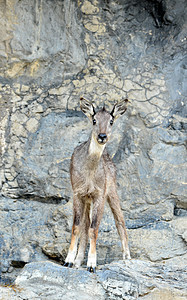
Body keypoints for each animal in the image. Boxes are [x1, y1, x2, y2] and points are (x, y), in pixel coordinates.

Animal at [63, 97, 131, 274]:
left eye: (111, 121)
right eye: (94, 120)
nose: (102, 136)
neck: (89, 174)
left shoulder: (99, 194)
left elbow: (94, 229)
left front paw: (92, 264)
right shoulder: (78, 193)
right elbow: (77, 227)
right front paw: (68, 261)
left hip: (112, 190)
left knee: (120, 220)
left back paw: (127, 256)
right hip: (88, 200)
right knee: (85, 226)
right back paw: (77, 261)